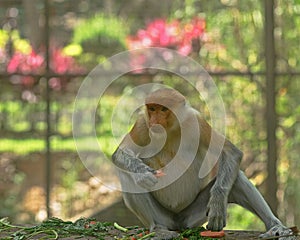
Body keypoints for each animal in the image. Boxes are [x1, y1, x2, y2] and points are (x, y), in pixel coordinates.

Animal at [112, 88, 296, 240]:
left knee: (237, 179)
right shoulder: (143, 124)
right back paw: (158, 229)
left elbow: (231, 152)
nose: (155, 121)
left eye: (163, 109)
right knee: (126, 175)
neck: (170, 130)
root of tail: (177, 222)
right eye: (152, 109)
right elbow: (119, 154)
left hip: (192, 217)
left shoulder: (197, 121)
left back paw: (276, 227)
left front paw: (217, 206)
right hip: (163, 216)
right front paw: (144, 174)